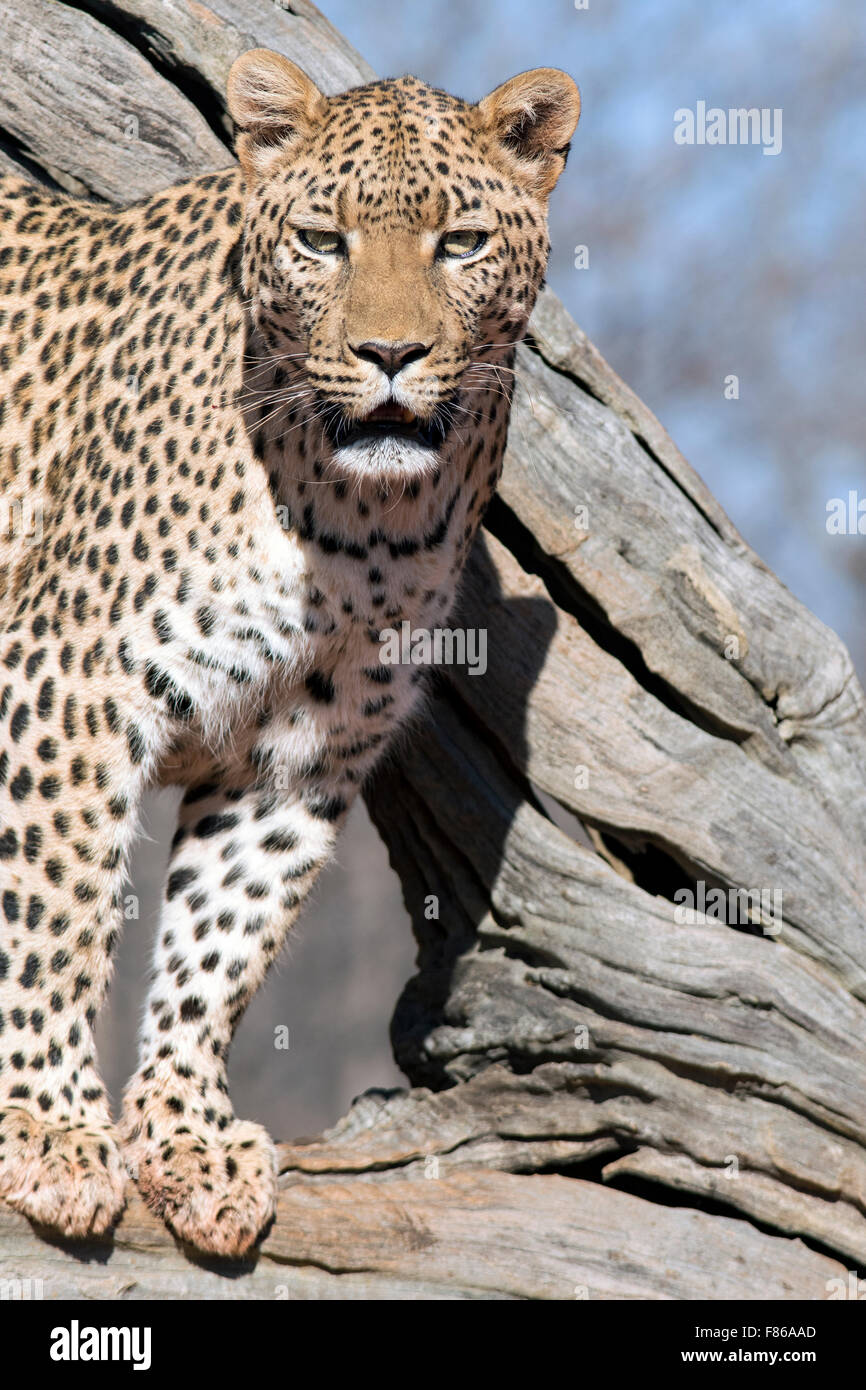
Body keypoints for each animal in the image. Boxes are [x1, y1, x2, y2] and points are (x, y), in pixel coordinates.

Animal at [0, 48, 583, 1256]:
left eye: (460, 243)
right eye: (322, 240)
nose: (391, 354)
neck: (362, 522)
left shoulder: (299, 749)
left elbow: (222, 941)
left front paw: (186, 1135)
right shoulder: (67, 675)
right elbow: (56, 908)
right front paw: (50, 1128)